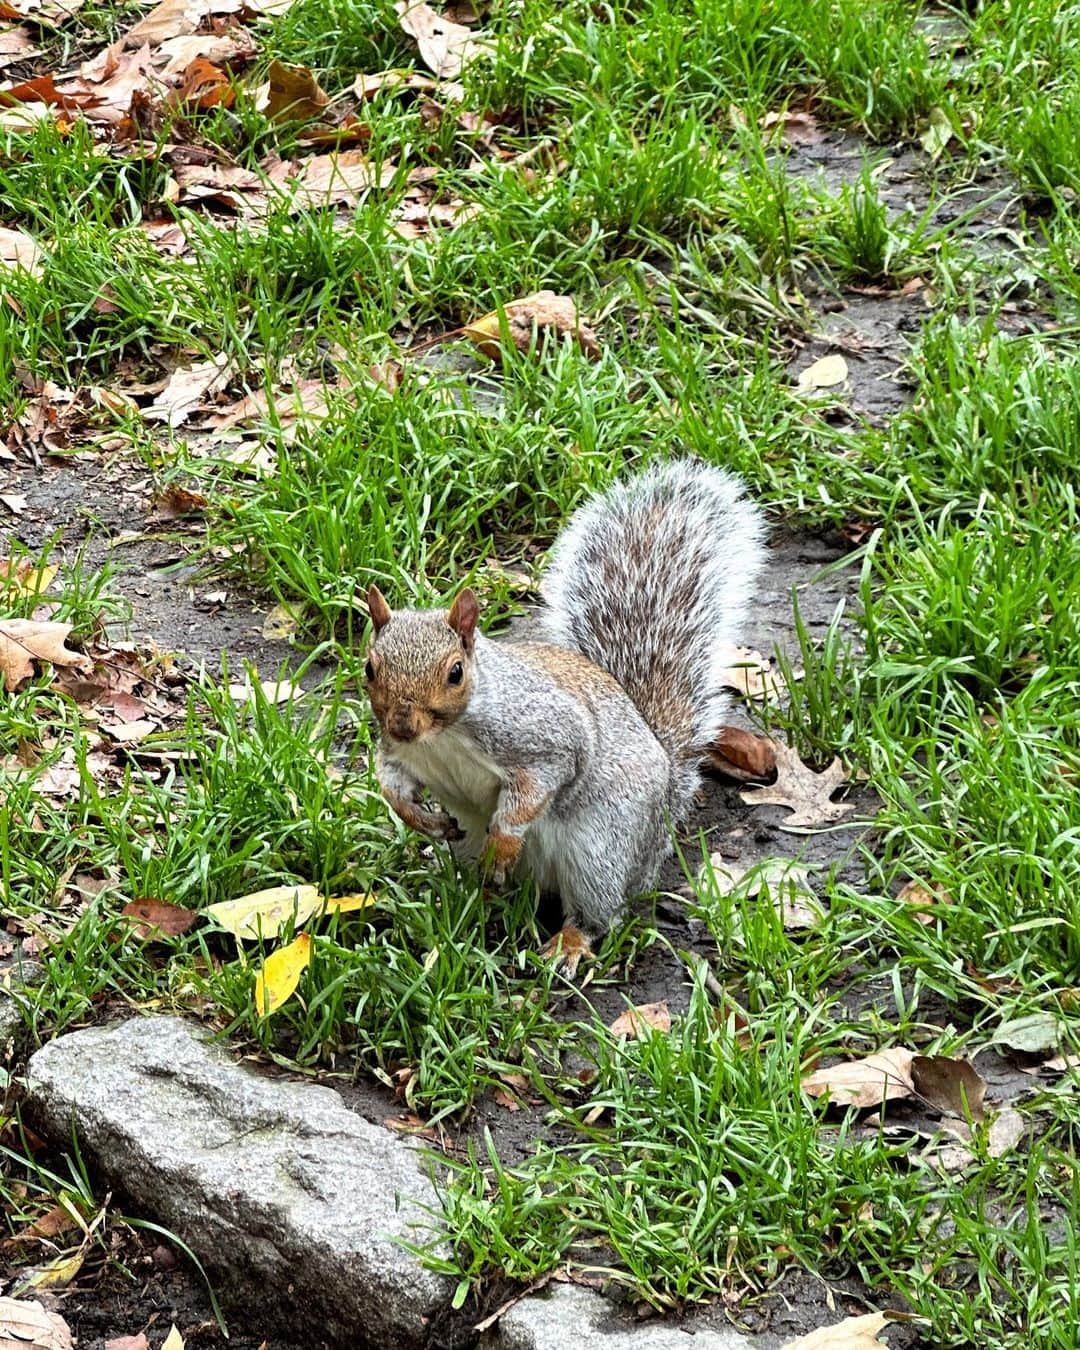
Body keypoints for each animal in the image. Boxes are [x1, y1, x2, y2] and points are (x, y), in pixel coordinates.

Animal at [364, 456, 766, 972]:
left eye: (455, 672)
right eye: (370, 668)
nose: (402, 724)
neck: (442, 736)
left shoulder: (543, 736)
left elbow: (534, 790)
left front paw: (504, 841)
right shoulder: (400, 754)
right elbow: (392, 785)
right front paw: (421, 819)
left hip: (601, 848)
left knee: (599, 911)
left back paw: (567, 940)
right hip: (479, 844)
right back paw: (469, 902)